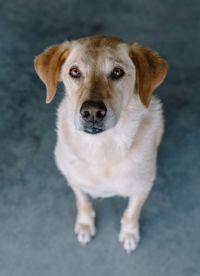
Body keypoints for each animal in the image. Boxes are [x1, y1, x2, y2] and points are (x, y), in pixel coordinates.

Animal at [33, 35, 168, 253]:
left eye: (117, 72)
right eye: (74, 72)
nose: (92, 112)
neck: (101, 148)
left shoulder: (142, 188)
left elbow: (131, 212)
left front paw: (129, 233)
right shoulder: (73, 179)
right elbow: (82, 202)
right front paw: (85, 224)